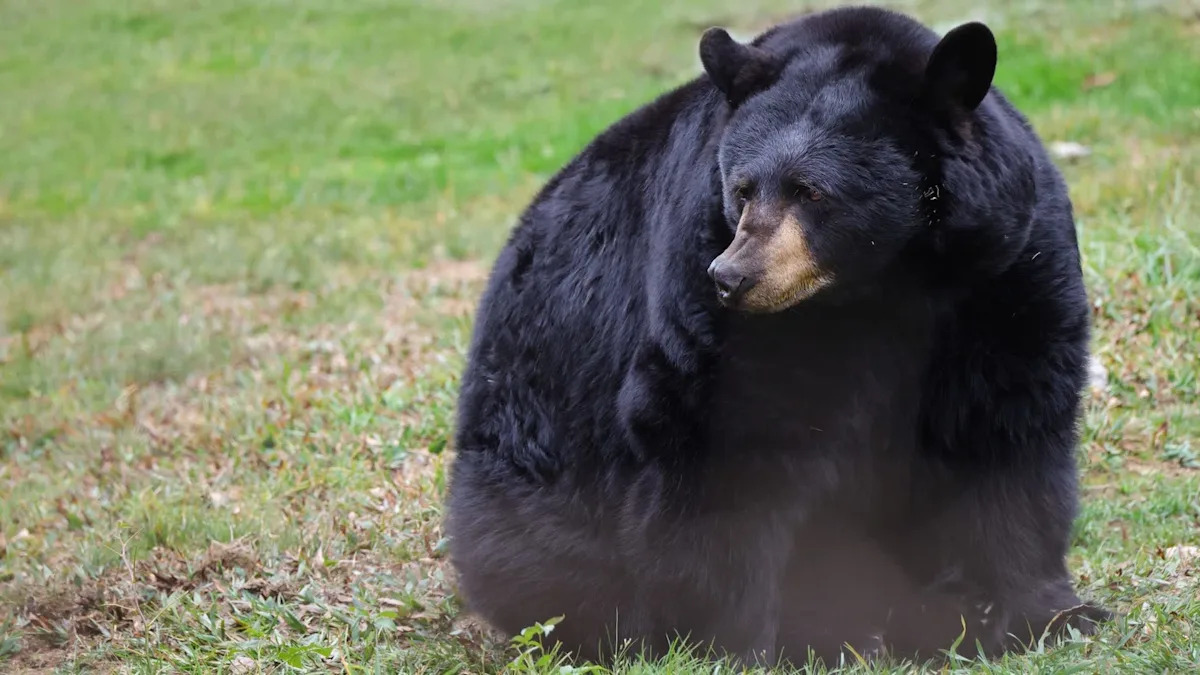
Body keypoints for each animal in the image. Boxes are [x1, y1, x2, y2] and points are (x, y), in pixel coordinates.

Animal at [445, 5, 1110, 668]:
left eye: (811, 191)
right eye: (741, 188)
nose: (732, 277)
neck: (884, 283)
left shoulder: (1003, 270)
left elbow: (1007, 423)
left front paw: (1045, 613)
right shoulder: (706, 284)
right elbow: (721, 441)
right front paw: (737, 641)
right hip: (528, 478)